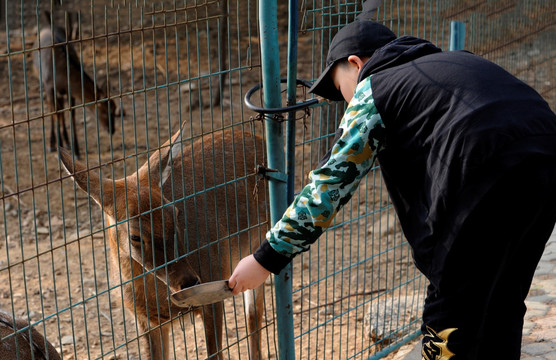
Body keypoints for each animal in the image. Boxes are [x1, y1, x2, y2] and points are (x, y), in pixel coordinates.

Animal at [33, 10, 118, 158]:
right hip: (42, 82)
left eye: (114, 108)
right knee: (51, 109)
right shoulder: (50, 86)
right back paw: (52, 144)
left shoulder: (69, 91)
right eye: (103, 110)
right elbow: (56, 113)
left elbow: (71, 115)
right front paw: (58, 148)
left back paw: (66, 142)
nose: (112, 130)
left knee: (60, 108)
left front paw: (76, 151)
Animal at [59, 126, 268, 358]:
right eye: (135, 236)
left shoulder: (212, 289)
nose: (190, 281)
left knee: (254, 315)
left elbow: (215, 353)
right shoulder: (146, 320)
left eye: (174, 213)